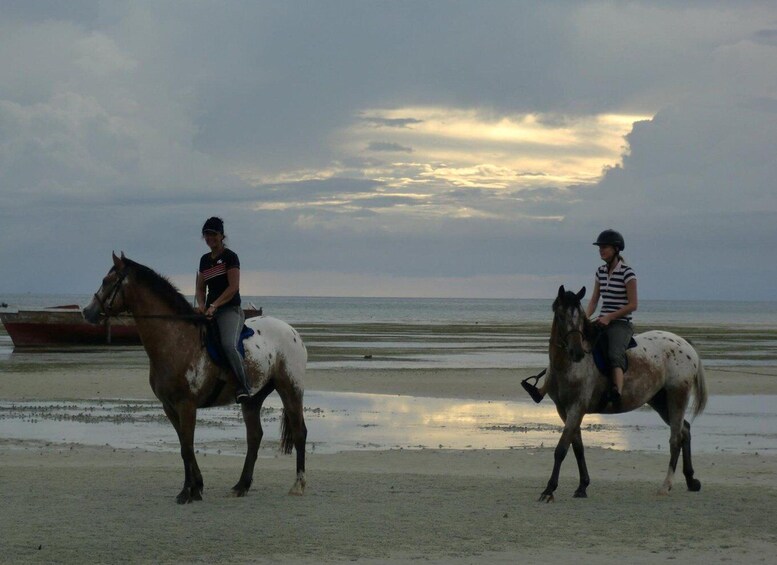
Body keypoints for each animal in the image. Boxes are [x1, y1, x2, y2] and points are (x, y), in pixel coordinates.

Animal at [82, 251, 306, 502]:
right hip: (252, 399)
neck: (175, 339)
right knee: (254, 437)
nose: (87, 312)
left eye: (107, 281)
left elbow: (187, 447)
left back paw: (298, 485)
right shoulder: (169, 407)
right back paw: (241, 485)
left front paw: (187, 492)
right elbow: (184, 446)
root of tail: (292, 332)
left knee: (299, 433)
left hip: (290, 389)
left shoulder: (186, 405)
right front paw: (196, 487)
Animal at [536, 284, 708, 500]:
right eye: (560, 316)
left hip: (677, 396)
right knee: (685, 430)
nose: (577, 352)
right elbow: (577, 448)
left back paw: (666, 485)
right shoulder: (564, 410)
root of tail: (685, 345)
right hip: (660, 401)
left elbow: (561, 449)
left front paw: (549, 490)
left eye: (580, 316)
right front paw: (582, 486)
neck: (566, 367)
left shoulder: (576, 408)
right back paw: (691, 480)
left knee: (676, 438)